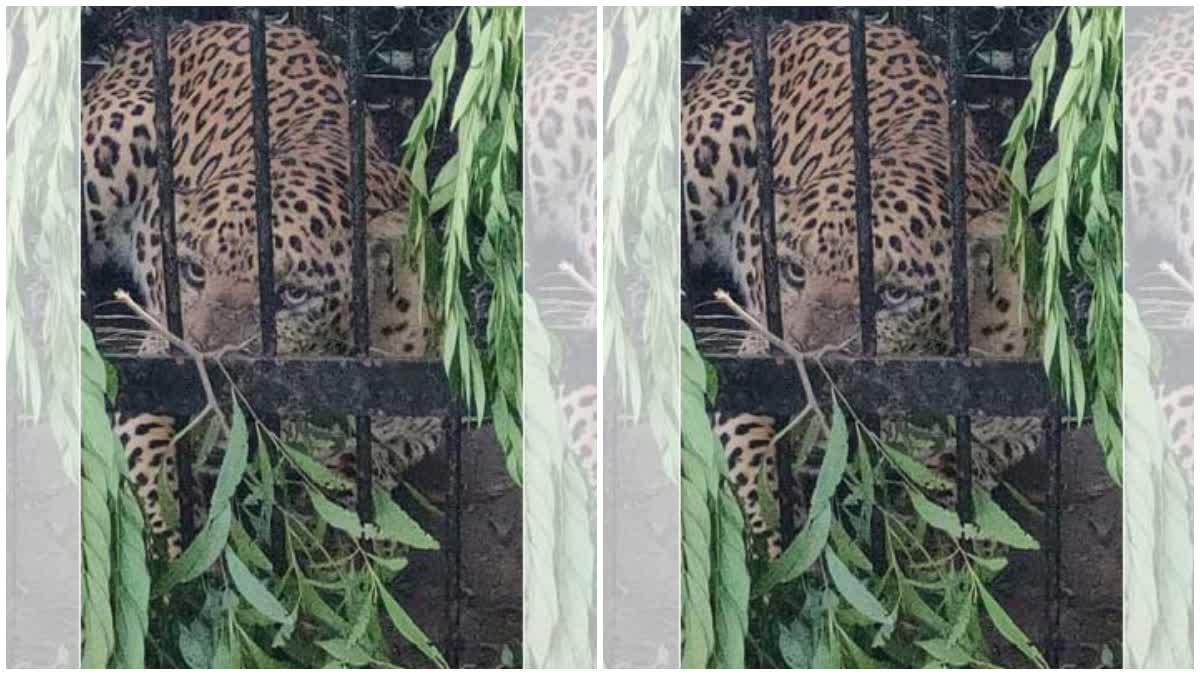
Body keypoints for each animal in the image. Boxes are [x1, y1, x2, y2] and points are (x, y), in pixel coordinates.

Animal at [83, 21, 441, 554]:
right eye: (192, 270)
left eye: (292, 295)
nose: (207, 379)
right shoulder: (151, 361)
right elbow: (153, 445)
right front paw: (181, 537)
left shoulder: (422, 415)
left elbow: (373, 463)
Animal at [691, 21, 1046, 554]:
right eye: (792, 271)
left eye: (894, 296)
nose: (807, 383)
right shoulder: (752, 363)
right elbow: (755, 454)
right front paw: (782, 543)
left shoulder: (1021, 413)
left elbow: (969, 470)